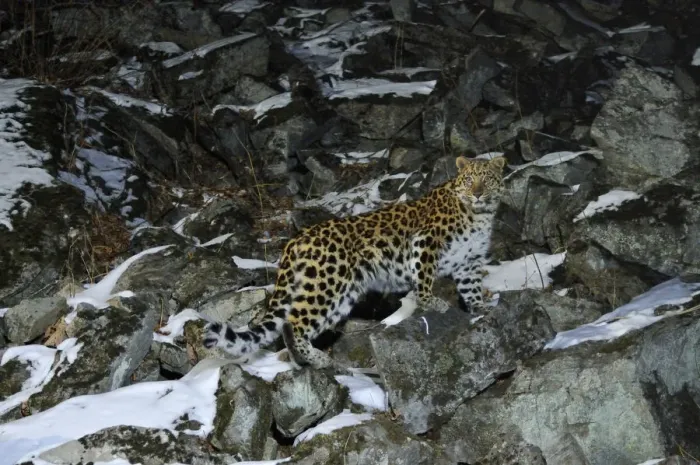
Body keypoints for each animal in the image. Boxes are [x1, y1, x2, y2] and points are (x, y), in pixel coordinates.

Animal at [203, 155, 507, 369]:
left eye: (487, 179)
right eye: (469, 180)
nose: (478, 193)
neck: (480, 214)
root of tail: (296, 240)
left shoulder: (469, 262)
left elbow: (471, 288)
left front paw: (480, 309)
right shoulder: (425, 241)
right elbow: (424, 278)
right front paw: (433, 303)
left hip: (339, 295)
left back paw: (309, 359)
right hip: (326, 284)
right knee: (294, 322)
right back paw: (316, 359)